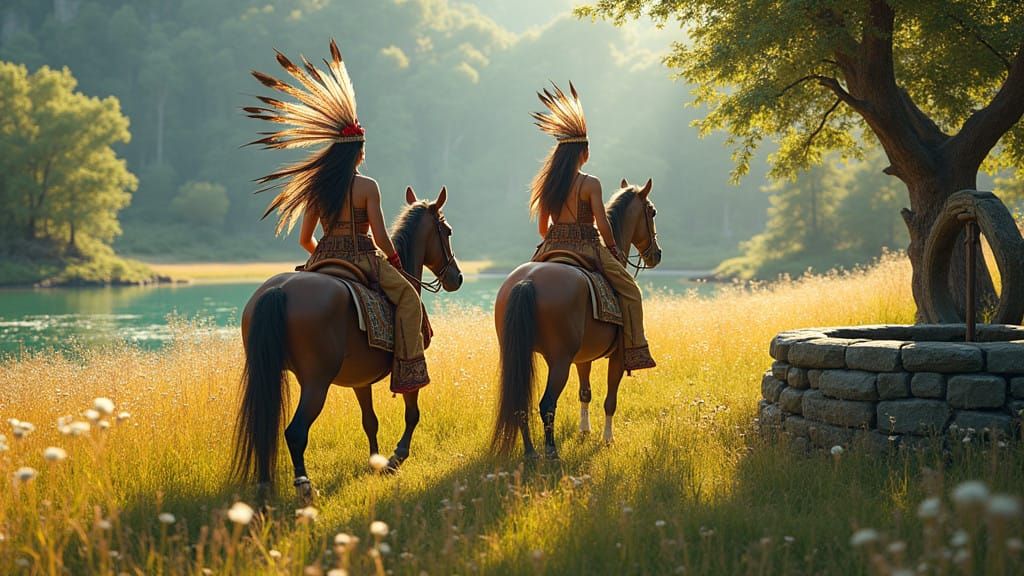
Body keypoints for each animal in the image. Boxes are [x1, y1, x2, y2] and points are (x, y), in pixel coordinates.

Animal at [233, 186, 463, 502]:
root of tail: (279, 290)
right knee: (295, 432)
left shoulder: (360, 379)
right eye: (448, 231)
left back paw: (265, 487)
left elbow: (370, 421)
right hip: (316, 383)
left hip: (267, 373)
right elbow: (412, 412)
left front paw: (375, 460)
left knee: (265, 427)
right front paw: (395, 458)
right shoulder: (408, 359)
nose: (457, 277)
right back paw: (305, 487)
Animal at [492, 178, 662, 459]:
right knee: (547, 403)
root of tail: (527, 281)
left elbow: (585, 393)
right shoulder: (617, 356)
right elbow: (610, 401)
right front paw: (607, 439)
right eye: (652, 212)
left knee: (521, 401)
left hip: (519, 353)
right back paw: (551, 452)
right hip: (559, 361)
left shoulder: (583, 358)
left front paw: (584, 431)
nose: (656, 254)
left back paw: (531, 452)